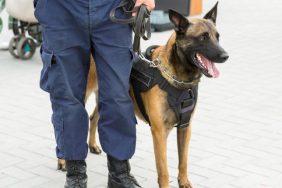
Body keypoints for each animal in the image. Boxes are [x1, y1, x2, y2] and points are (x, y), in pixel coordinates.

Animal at [57, 2, 229, 187]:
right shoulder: (159, 132)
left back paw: (92, 145)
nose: (225, 56)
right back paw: (62, 161)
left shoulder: (185, 127)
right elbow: (164, 171)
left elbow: (183, 161)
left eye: (217, 37)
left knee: (93, 117)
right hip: (81, 95)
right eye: (203, 37)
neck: (177, 79)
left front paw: (184, 182)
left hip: (109, 97)